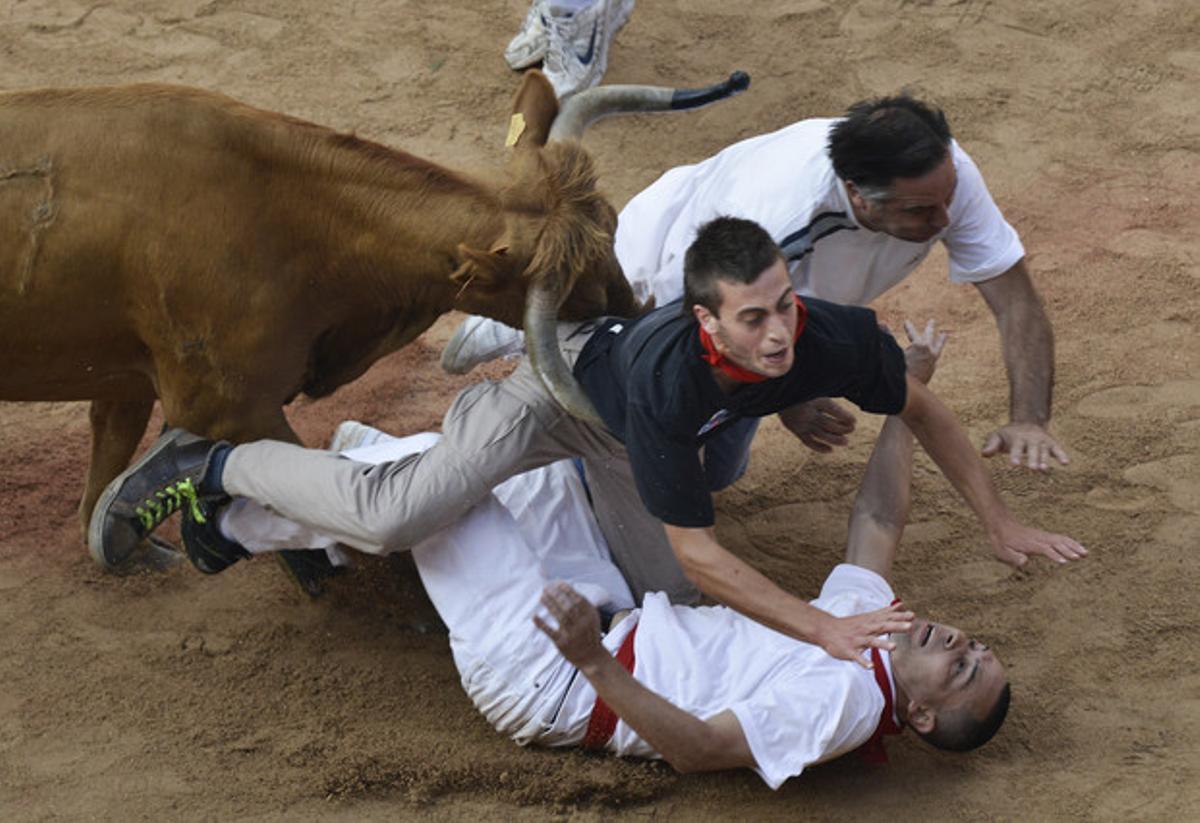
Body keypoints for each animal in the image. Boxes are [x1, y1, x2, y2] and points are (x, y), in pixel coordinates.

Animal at [0, 69, 744, 566]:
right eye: (575, 298)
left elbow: (104, 466)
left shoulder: (125, 382)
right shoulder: (227, 402)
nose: (638, 315)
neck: (285, 216)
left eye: (614, 230)